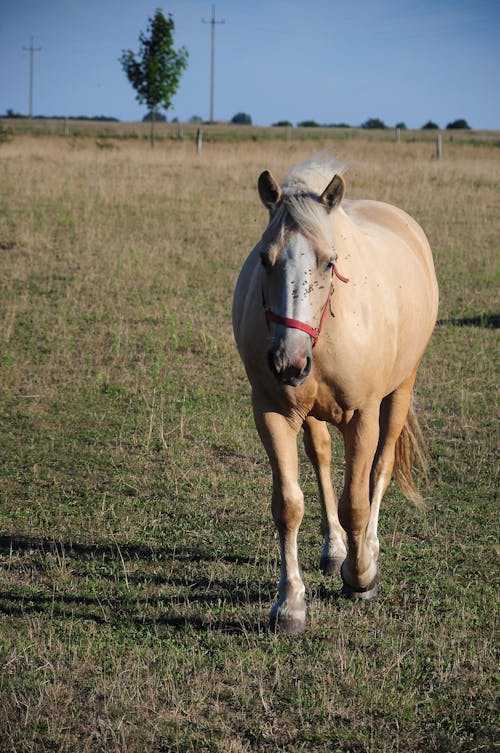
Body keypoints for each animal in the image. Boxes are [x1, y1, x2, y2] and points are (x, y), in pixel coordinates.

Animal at [232, 156, 440, 632]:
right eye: (265, 258)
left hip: (400, 391)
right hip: (309, 411)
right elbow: (288, 504)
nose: (288, 361)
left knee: (381, 467)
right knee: (322, 458)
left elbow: (356, 503)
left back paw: (369, 549)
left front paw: (361, 577)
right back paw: (335, 549)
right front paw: (290, 603)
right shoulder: (272, 411)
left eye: (330, 262)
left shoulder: (362, 415)